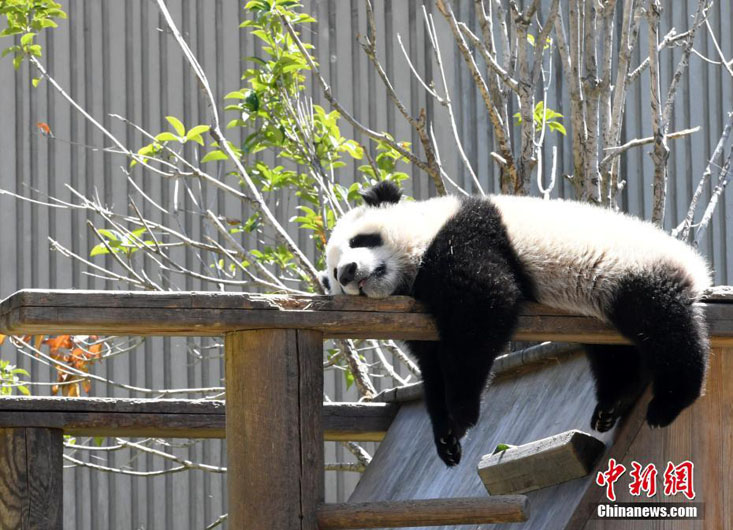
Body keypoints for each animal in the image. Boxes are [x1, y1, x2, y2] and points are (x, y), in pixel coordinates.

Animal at [322, 183, 708, 466]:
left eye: (361, 240)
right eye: (334, 276)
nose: (349, 272)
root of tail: (696, 267)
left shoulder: (466, 237)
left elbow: (485, 307)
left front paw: (463, 412)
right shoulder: (419, 315)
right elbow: (432, 366)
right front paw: (446, 437)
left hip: (632, 271)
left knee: (663, 324)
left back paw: (669, 401)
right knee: (615, 354)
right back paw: (611, 405)